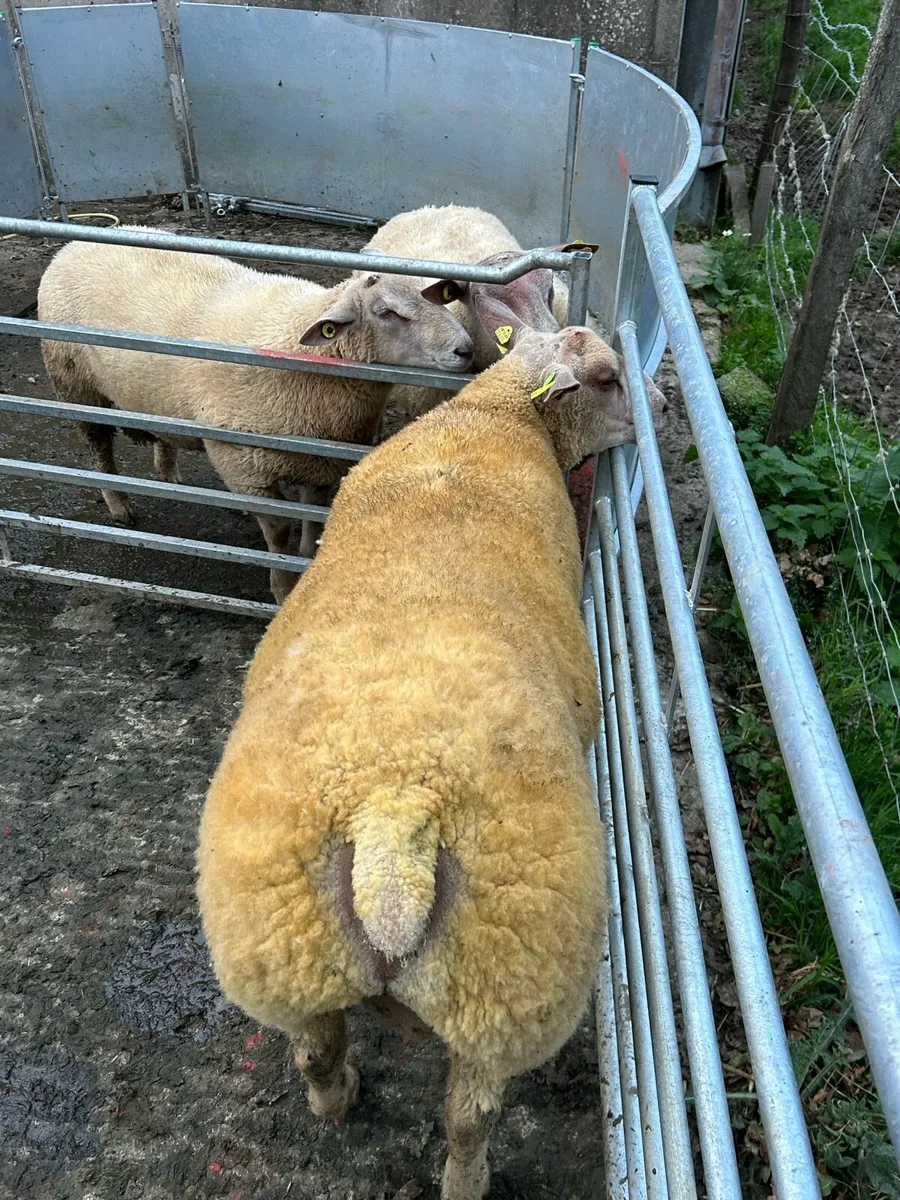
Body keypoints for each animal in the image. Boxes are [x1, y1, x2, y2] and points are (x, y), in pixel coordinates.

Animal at [37, 228, 475, 601]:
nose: (466, 349)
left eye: (440, 297)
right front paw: (281, 588)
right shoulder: (247, 465)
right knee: (99, 446)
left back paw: (168, 471)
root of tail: (72, 244)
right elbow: (279, 533)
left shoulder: (320, 461)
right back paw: (119, 505)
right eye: (387, 312)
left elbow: (313, 523)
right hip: (73, 383)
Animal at [196, 297, 669, 1200]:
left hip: (283, 954)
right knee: (470, 1116)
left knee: (314, 1049)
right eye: (606, 377)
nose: (658, 412)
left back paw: (338, 1100)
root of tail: (394, 823)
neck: (499, 413)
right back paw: (464, 1180)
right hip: (509, 988)